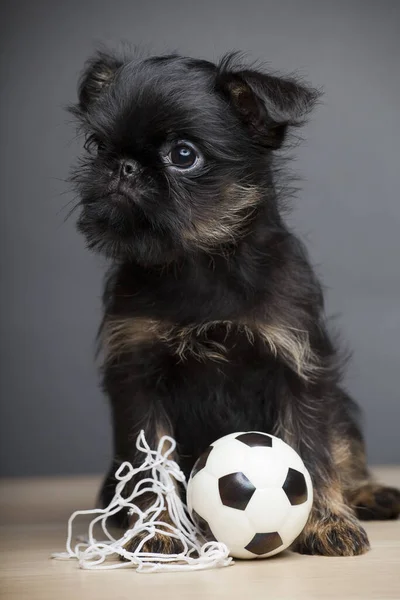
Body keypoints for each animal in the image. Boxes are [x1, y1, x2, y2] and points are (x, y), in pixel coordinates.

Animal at [70, 50, 398, 556]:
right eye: (96, 145)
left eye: (183, 155)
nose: (122, 166)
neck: (200, 263)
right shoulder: (138, 375)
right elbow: (151, 464)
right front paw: (157, 528)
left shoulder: (299, 365)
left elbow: (314, 449)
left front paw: (325, 522)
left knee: (345, 447)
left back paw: (368, 492)